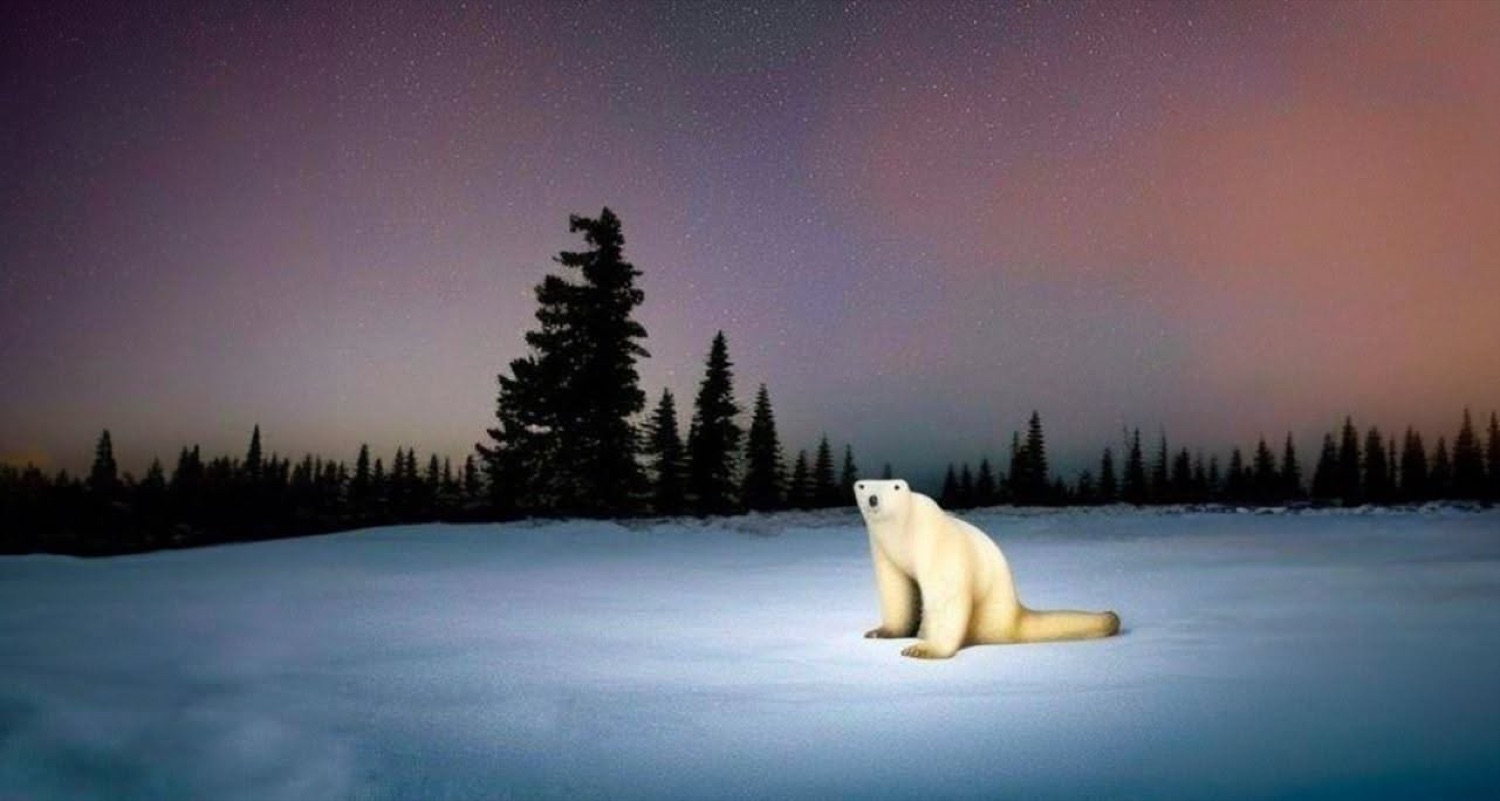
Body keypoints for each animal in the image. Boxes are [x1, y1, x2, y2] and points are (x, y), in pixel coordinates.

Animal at [854, 479, 1120, 659]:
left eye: (895, 487)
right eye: (862, 486)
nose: (873, 499)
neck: (904, 533)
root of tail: (1013, 614)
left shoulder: (936, 542)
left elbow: (947, 594)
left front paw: (922, 648)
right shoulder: (885, 552)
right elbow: (897, 588)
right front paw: (880, 632)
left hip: (987, 613)